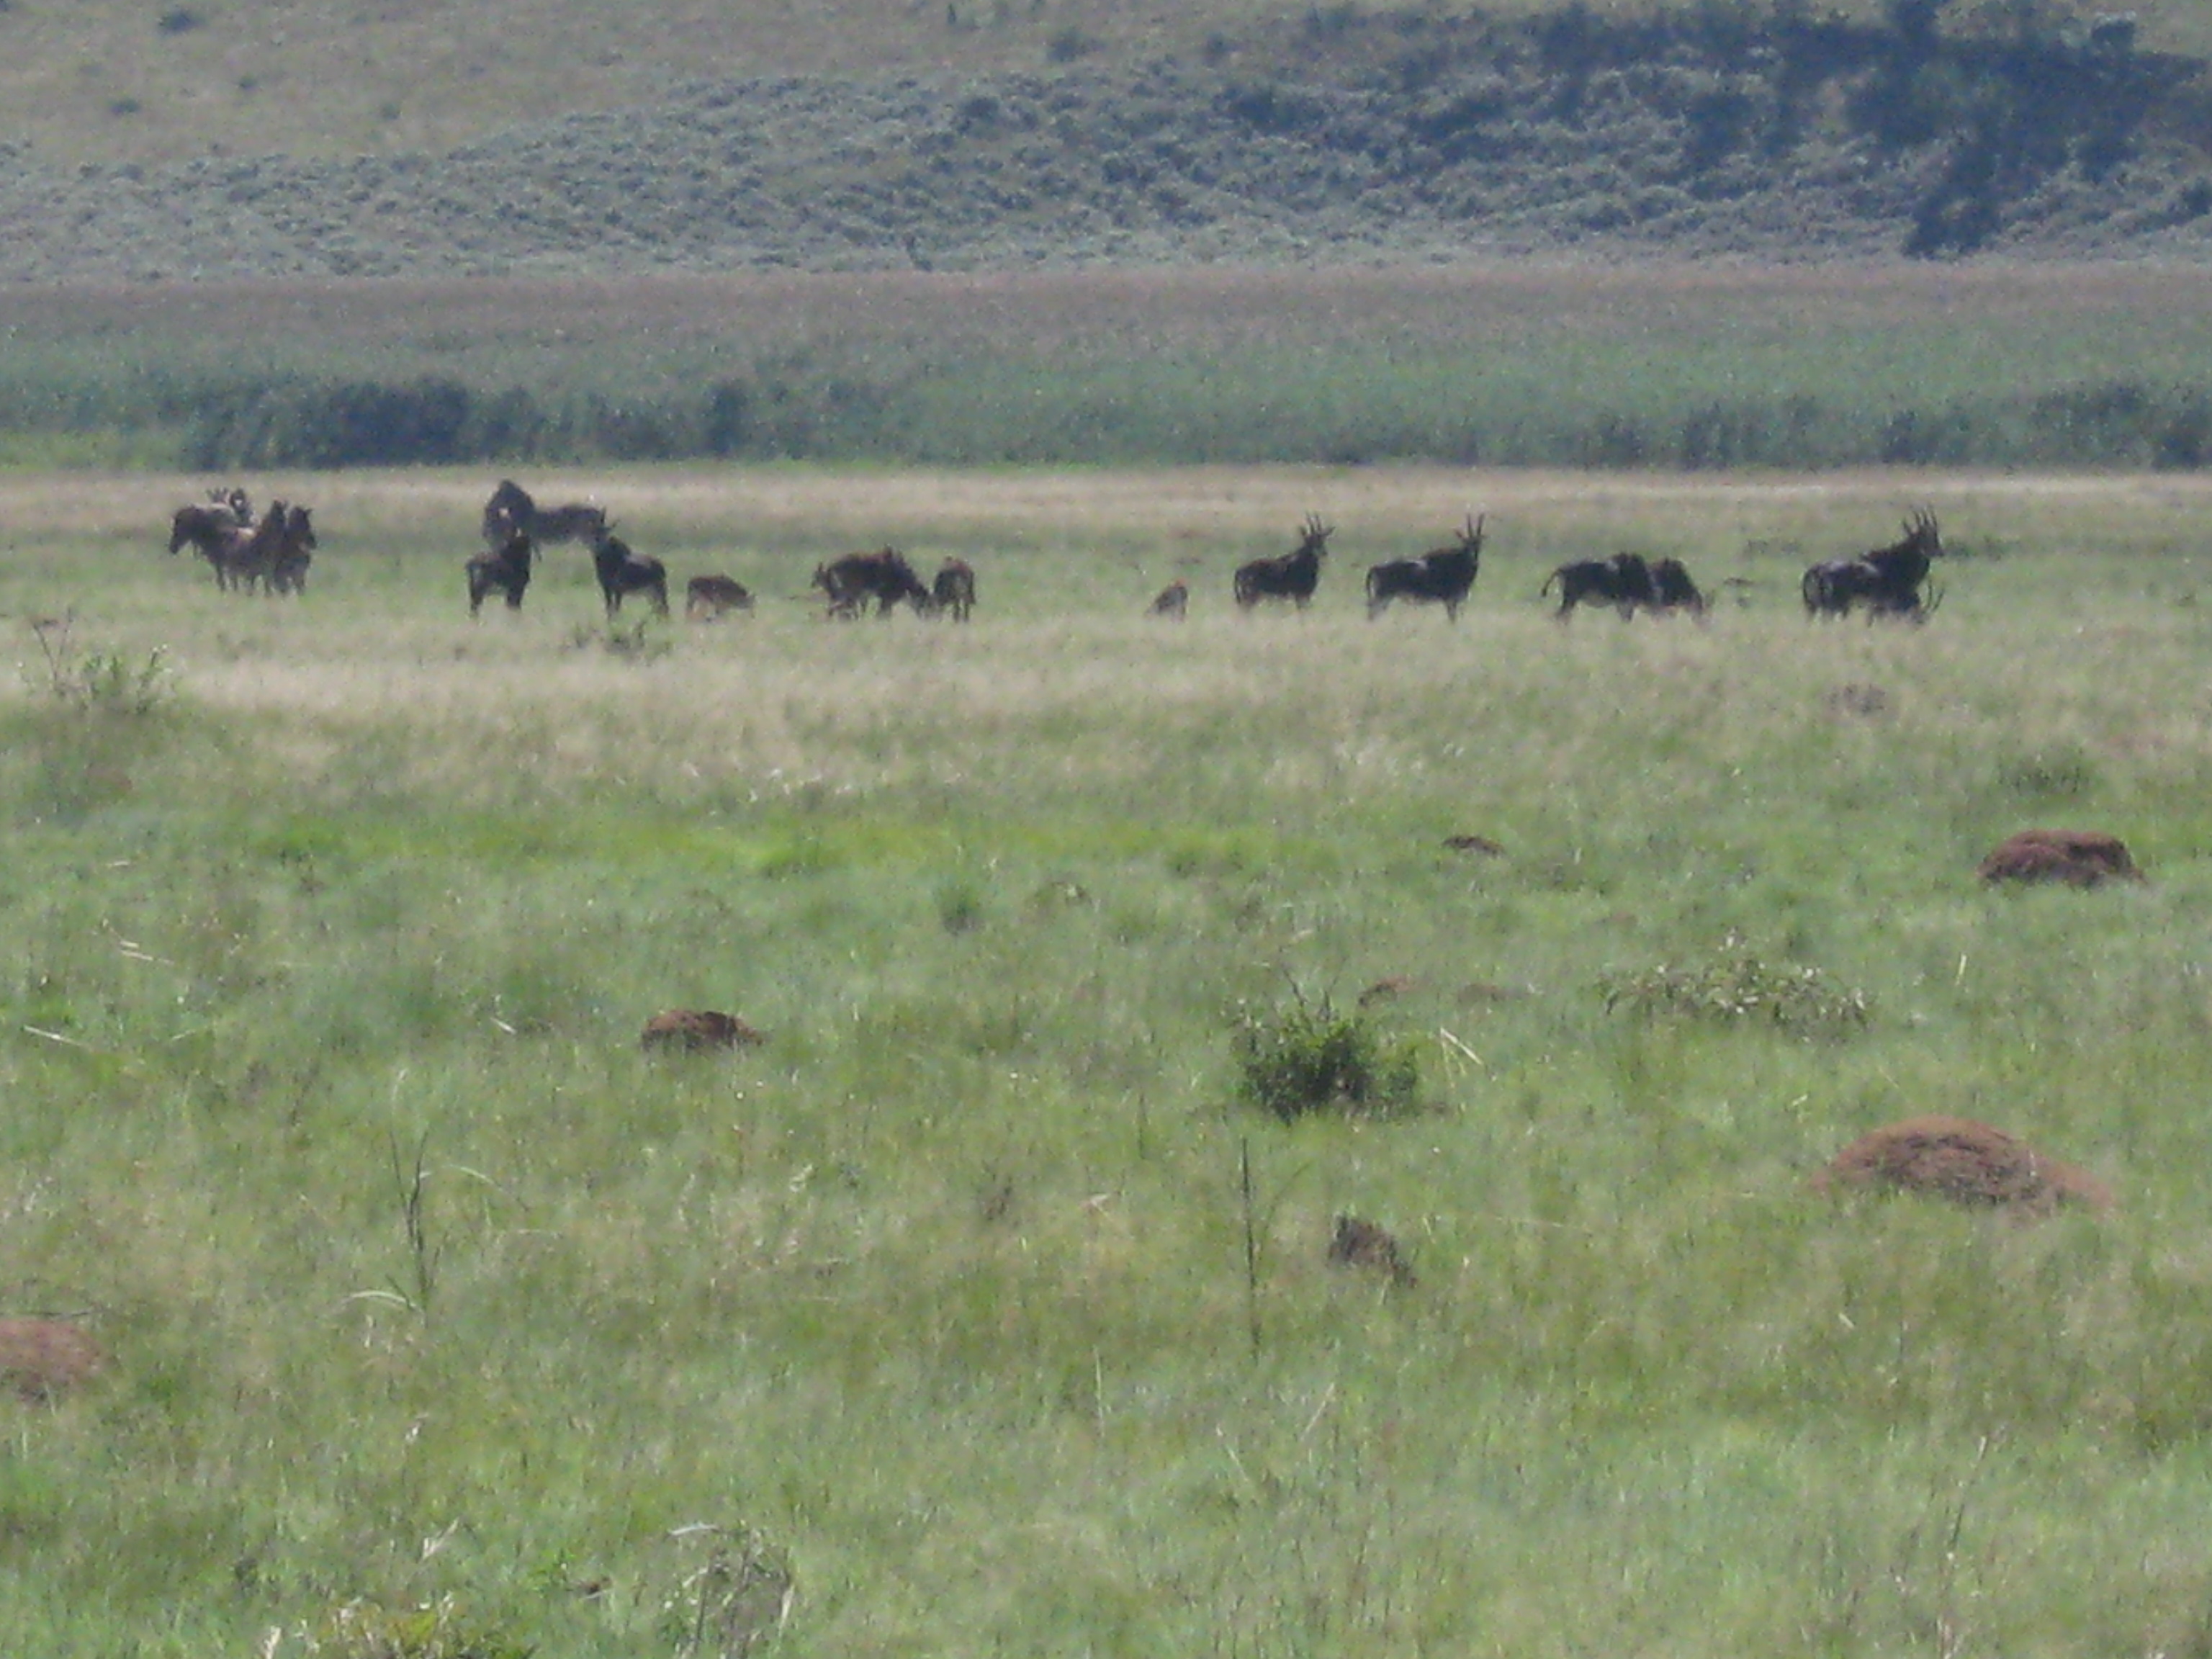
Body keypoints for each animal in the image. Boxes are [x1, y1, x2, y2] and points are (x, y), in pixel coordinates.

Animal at [1230, 517, 1327, 615]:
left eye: (1323, 540)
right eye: (1309, 540)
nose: (1323, 553)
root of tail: (1239, 571)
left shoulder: (1305, 596)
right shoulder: (1299, 595)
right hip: (1250, 596)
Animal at [1362, 517, 1486, 619]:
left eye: (1479, 543)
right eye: (1466, 543)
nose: (1474, 559)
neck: (1459, 563)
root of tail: (1376, 567)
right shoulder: (1450, 601)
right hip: (1383, 596)